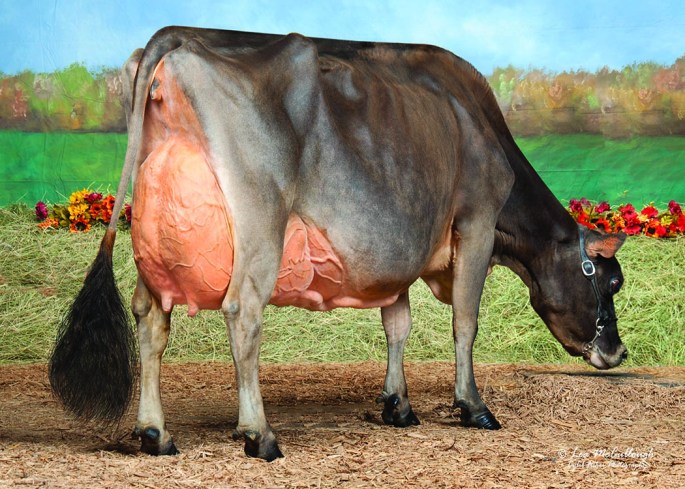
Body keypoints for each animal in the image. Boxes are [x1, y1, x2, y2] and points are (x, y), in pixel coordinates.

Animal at [49, 26, 627, 461]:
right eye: (611, 281)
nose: (618, 350)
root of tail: (178, 38)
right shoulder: (477, 223)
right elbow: (466, 322)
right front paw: (473, 406)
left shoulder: (397, 249)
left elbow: (398, 324)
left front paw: (398, 404)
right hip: (260, 226)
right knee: (242, 314)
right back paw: (259, 434)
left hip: (152, 240)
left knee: (151, 320)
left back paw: (155, 433)